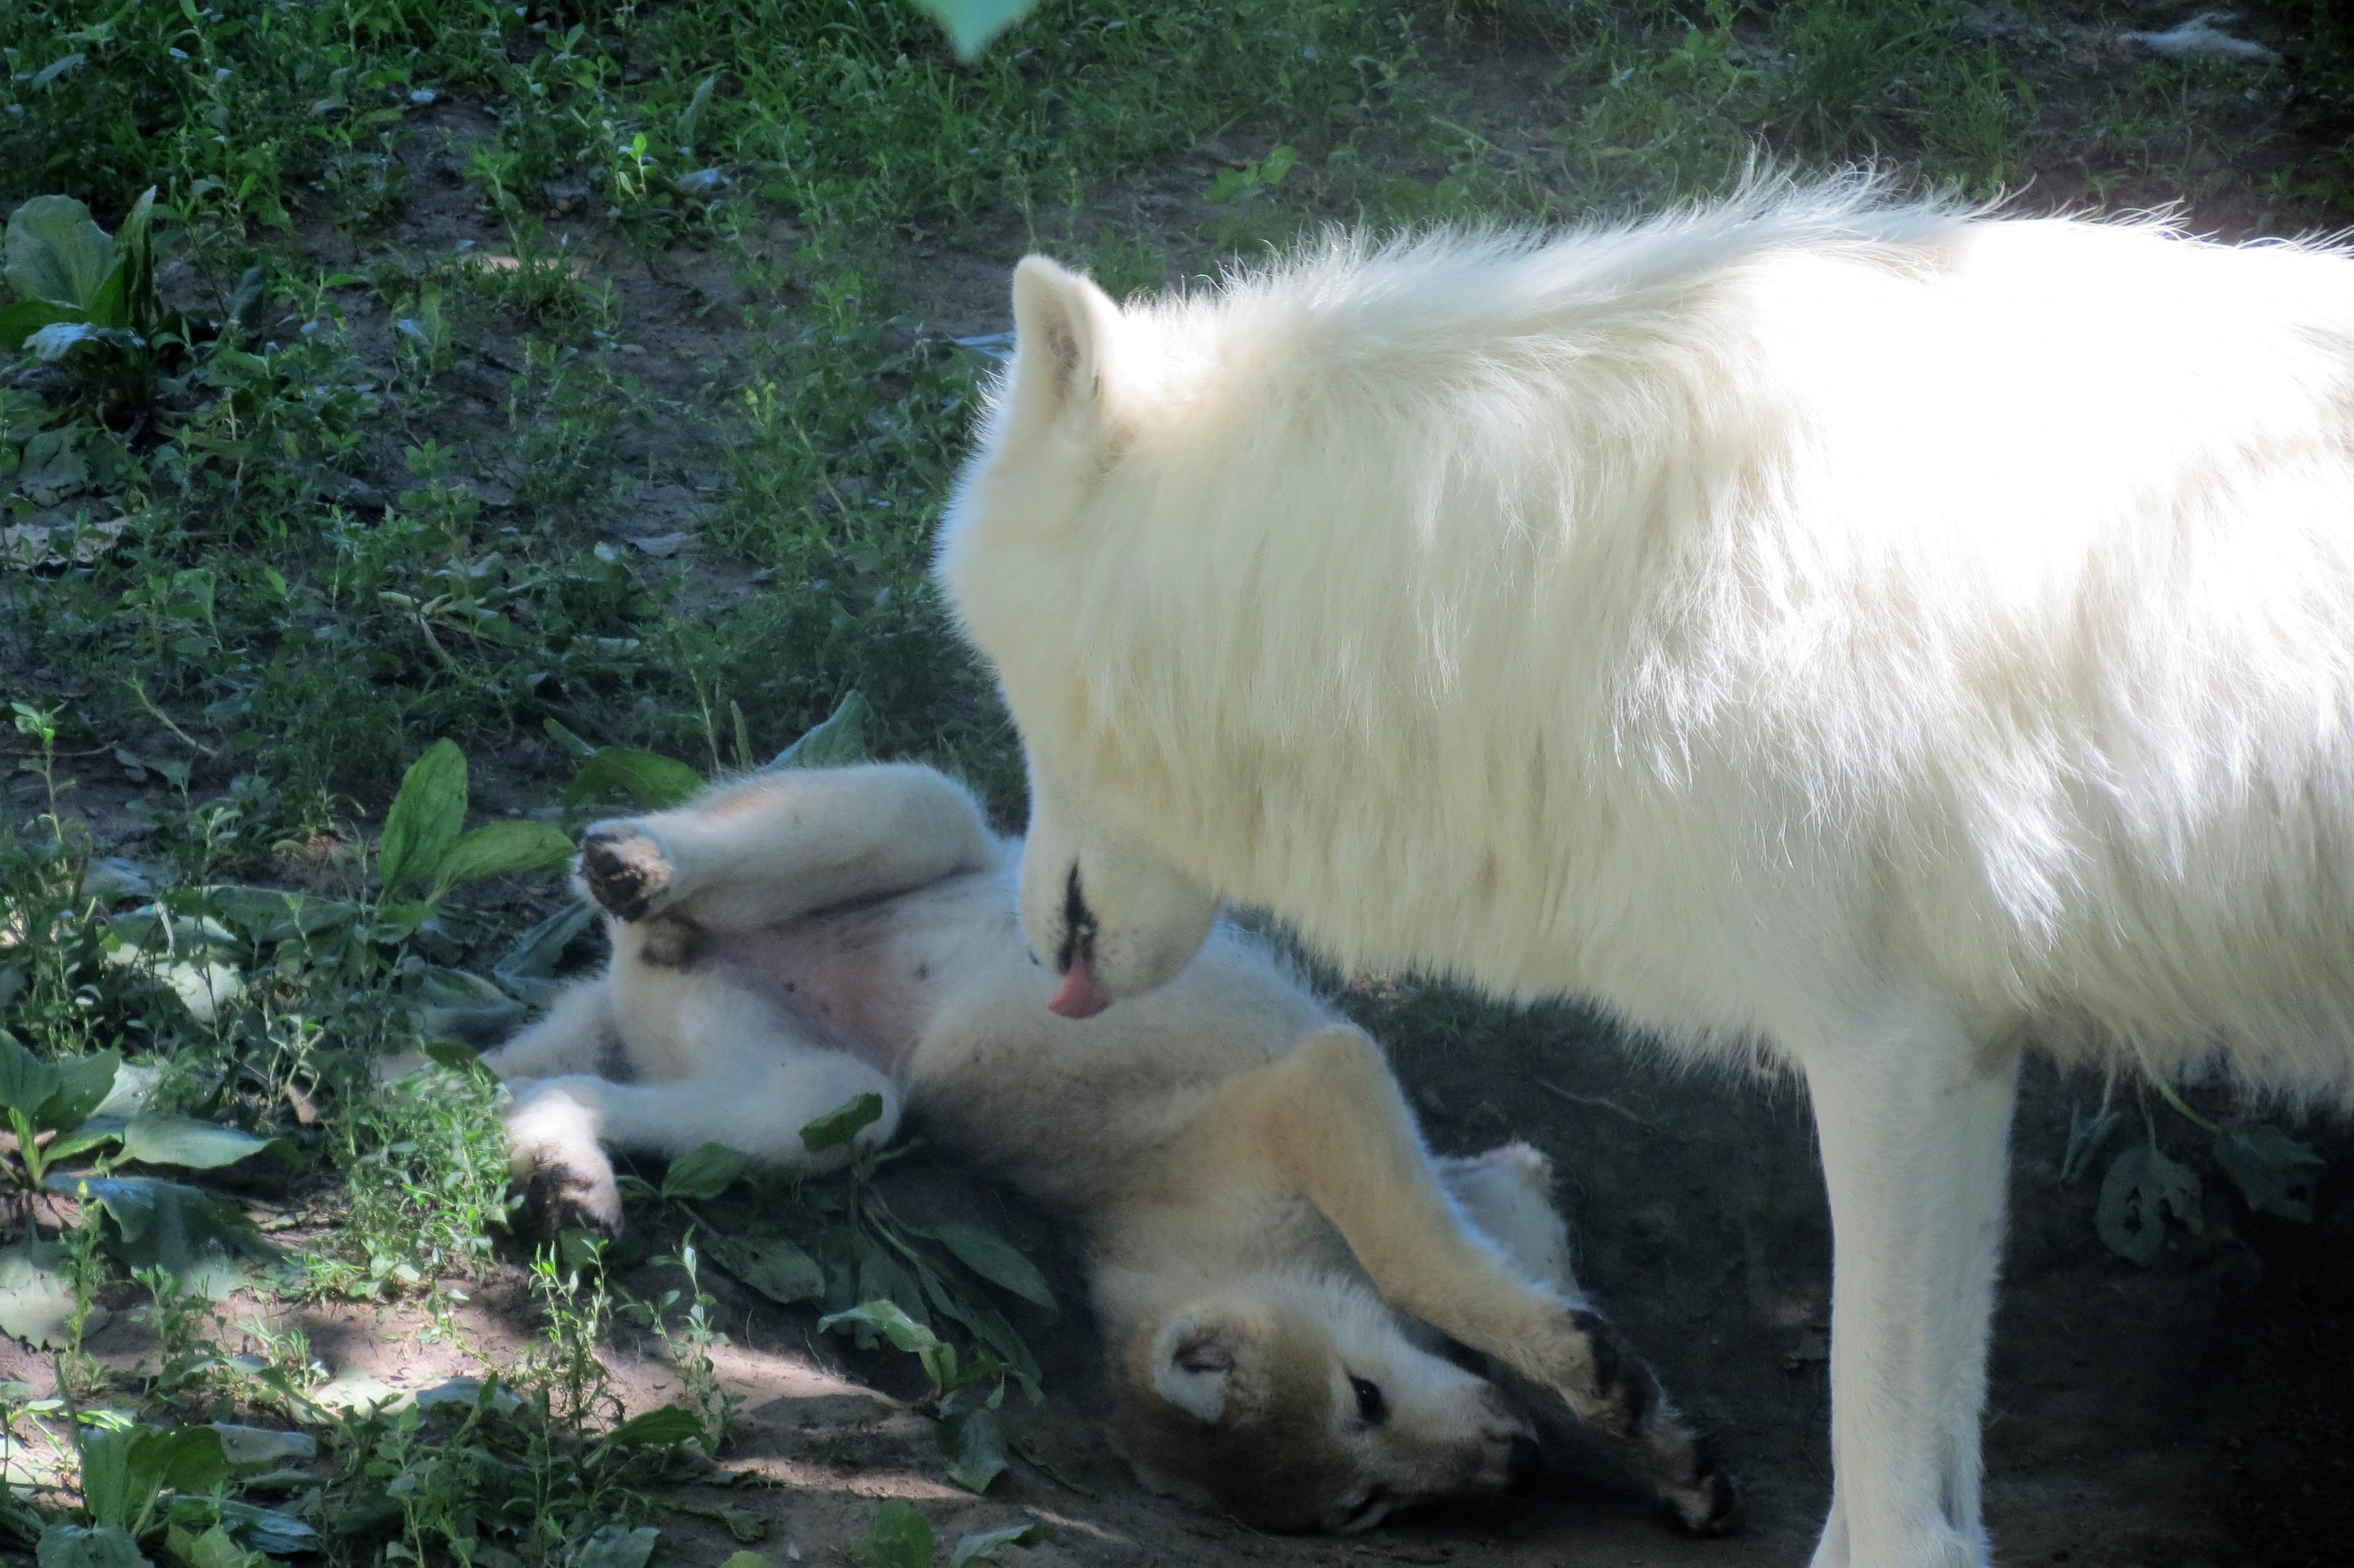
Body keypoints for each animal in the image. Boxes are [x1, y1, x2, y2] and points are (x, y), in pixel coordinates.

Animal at [482, 762, 1736, 1534]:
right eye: (1362, 1473)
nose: (1516, 1467)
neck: (1206, 1231)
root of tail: (637, 972)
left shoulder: (1444, 1160)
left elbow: (1490, 1265)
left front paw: (1657, 1445)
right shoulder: (1333, 1091)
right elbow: (1449, 1269)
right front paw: (1612, 1398)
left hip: (819, 1085)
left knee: (561, 1073)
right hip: (855, 1000)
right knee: (583, 1017)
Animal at [932, 181, 2354, 1568]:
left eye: (1000, 678)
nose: (1028, 943)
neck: (1538, 570)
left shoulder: (1885, 1057)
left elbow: (1888, 1497)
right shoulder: (1957, 1058)